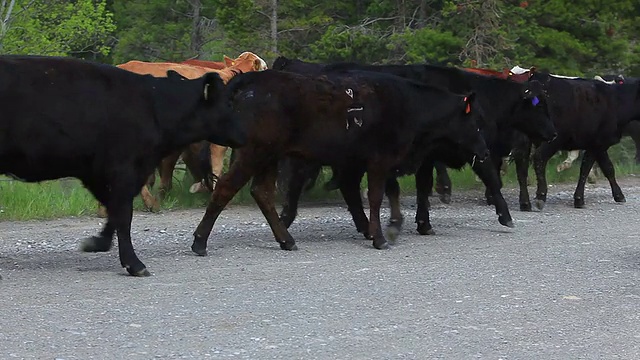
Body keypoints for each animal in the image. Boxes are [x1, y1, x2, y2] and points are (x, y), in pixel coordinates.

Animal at [0, 54, 245, 278]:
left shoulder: (100, 172)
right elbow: (123, 214)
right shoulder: (122, 170)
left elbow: (114, 212)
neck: (153, 105)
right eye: (228, 103)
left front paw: (98, 243)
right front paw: (134, 263)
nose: (245, 133)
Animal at [190, 68, 484, 253]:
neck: (409, 103)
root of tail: (251, 81)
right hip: (254, 153)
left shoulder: (369, 163)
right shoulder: (379, 161)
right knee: (226, 187)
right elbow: (375, 196)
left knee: (262, 192)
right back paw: (200, 242)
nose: (484, 151)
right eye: (475, 123)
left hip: (269, 157)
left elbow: (385, 193)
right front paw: (380, 237)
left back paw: (287, 240)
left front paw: (386, 228)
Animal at [512, 71, 640, 211]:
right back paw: (540, 196)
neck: (616, 100)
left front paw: (618, 195)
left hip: (524, 139)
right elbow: (586, 168)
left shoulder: (599, 144)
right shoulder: (596, 144)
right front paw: (579, 199)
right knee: (539, 158)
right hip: (554, 139)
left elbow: (608, 168)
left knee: (521, 165)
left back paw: (525, 202)